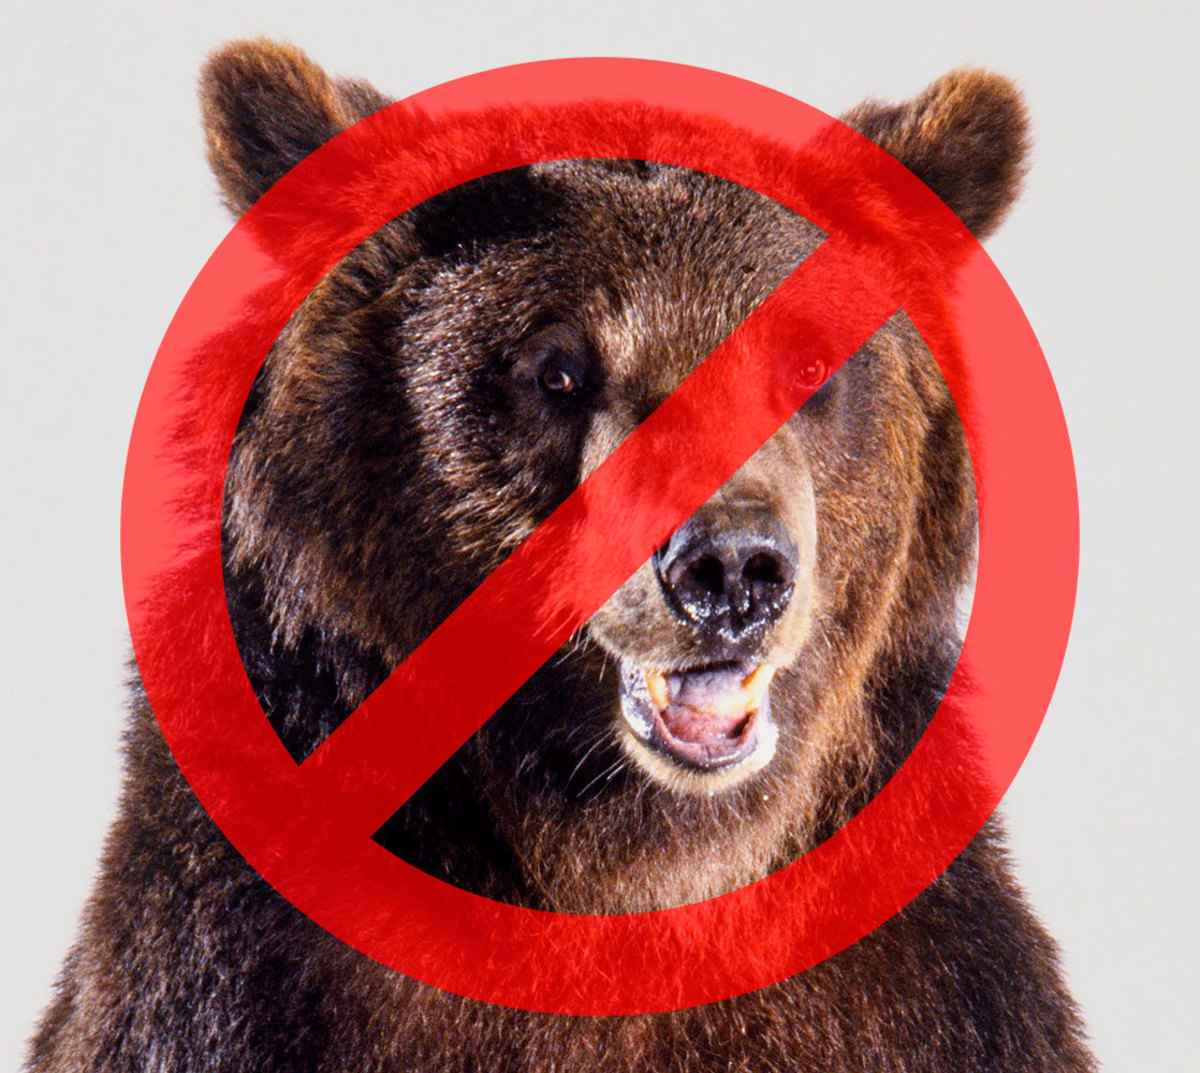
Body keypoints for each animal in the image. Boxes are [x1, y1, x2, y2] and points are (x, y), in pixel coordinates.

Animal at [26, 40, 1096, 1073]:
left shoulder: (920, 993)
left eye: (807, 363)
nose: (730, 570)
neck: (622, 867)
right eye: (558, 369)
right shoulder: (226, 977)